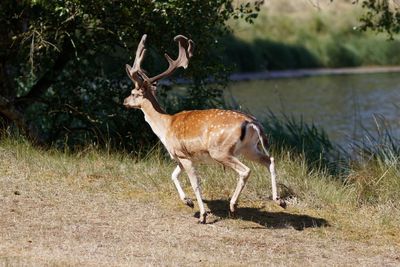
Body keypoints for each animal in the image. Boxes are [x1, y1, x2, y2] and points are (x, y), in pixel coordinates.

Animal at [123, 34, 282, 225]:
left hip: (221, 150)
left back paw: (233, 205)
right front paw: (188, 202)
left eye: (133, 93)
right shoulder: (182, 157)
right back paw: (279, 200)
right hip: (250, 147)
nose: (124, 101)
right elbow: (173, 175)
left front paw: (202, 215)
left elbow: (195, 183)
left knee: (246, 170)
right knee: (269, 159)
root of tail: (252, 122)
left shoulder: (183, 155)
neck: (166, 126)